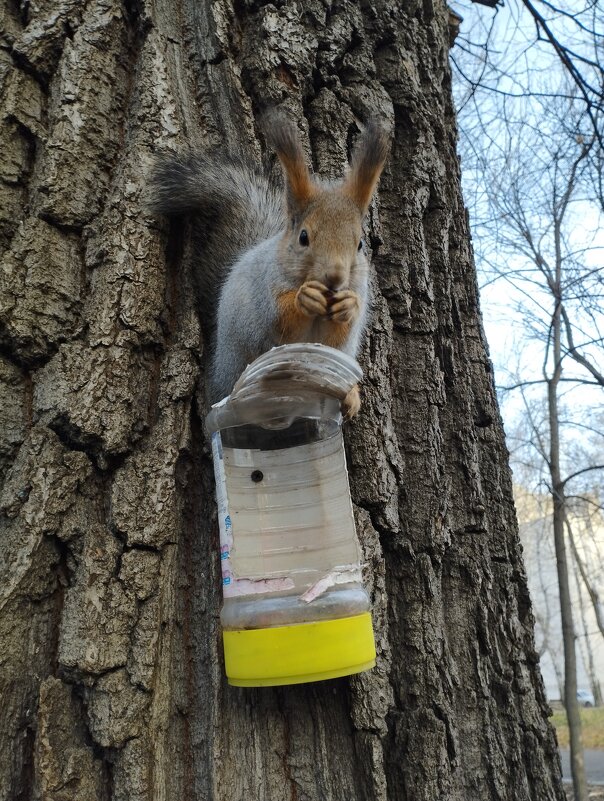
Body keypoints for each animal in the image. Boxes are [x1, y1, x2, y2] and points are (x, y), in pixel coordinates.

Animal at [149, 113, 390, 418]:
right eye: (303, 237)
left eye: (360, 244)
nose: (335, 277)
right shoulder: (265, 293)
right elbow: (281, 319)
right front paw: (304, 298)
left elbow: (338, 335)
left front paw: (348, 306)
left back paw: (350, 396)